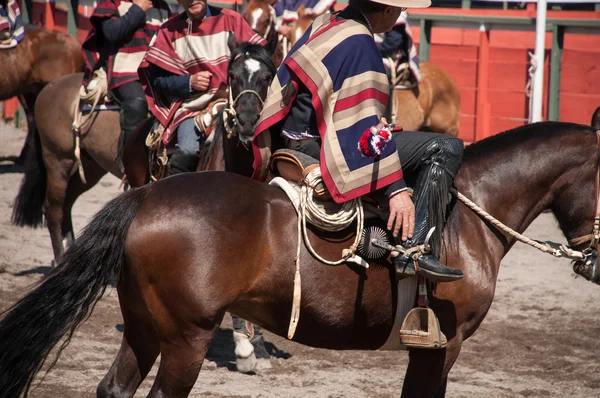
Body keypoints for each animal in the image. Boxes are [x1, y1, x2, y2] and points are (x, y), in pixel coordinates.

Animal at [1, 121, 600, 398]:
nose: (593, 263)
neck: (467, 213)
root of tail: (146, 195)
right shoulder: (442, 346)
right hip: (185, 340)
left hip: (146, 329)